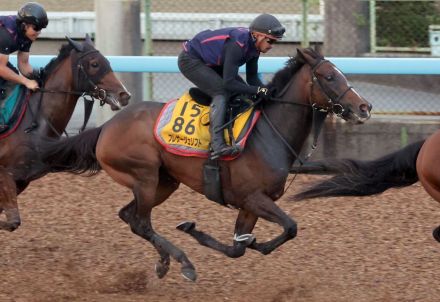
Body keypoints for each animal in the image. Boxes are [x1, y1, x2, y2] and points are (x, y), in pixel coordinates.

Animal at [0, 36, 131, 231]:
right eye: (94, 64)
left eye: (108, 62)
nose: (125, 95)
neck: (34, 121)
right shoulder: (7, 174)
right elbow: (12, 221)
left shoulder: (23, 179)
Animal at [40, 47, 372, 280]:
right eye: (329, 76)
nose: (364, 107)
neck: (268, 132)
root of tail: (105, 128)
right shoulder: (254, 197)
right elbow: (290, 227)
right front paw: (250, 242)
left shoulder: (249, 204)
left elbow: (238, 247)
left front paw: (224, 236)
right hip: (144, 176)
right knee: (141, 221)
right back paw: (183, 263)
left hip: (164, 182)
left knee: (130, 217)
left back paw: (165, 261)